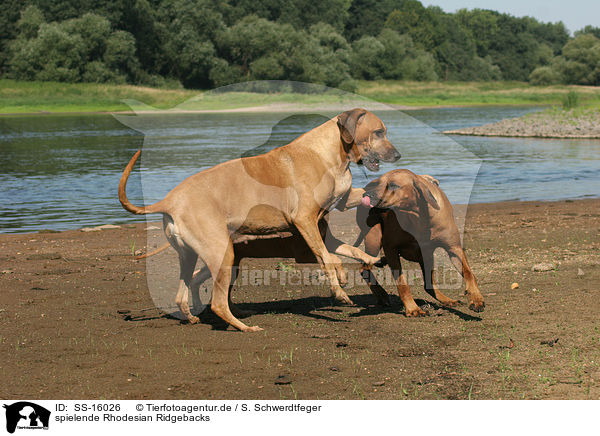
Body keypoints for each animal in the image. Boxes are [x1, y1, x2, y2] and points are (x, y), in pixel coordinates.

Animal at [118, 109, 398, 330]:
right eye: (378, 132)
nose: (398, 156)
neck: (330, 155)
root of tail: (169, 201)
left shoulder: (332, 213)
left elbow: (348, 250)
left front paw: (370, 260)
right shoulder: (305, 221)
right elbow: (329, 259)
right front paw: (339, 289)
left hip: (192, 256)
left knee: (183, 293)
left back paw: (195, 317)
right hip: (222, 253)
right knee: (218, 303)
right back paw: (244, 327)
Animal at [354, 169, 486, 316]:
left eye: (393, 185)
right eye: (379, 183)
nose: (366, 195)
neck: (418, 217)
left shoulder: (454, 247)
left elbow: (469, 273)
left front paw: (476, 299)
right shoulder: (390, 248)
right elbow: (402, 284)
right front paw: (412, 309)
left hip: (426, 256)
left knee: (428, 285)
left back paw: (447, 300)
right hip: (374, 238)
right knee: (364, 268)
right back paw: (381, 294)